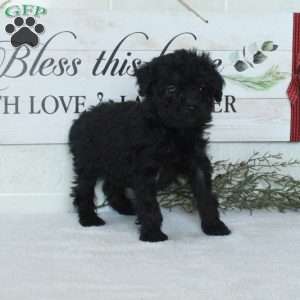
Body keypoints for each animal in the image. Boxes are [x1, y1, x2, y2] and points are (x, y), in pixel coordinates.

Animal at [69, 49, 231, 241]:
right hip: (88, 164)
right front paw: (153, 234)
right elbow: (149, 204)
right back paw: (89, 218)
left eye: (202, 88)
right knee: (83, 190)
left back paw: (126, 208)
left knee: (110, 186)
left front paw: (214, 226)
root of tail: (82, 118)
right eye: (171, 89)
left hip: (116, 164)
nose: (192, 105)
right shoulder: (145, 171)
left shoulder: (198, 163)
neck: (173, 132)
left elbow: (206, 196)